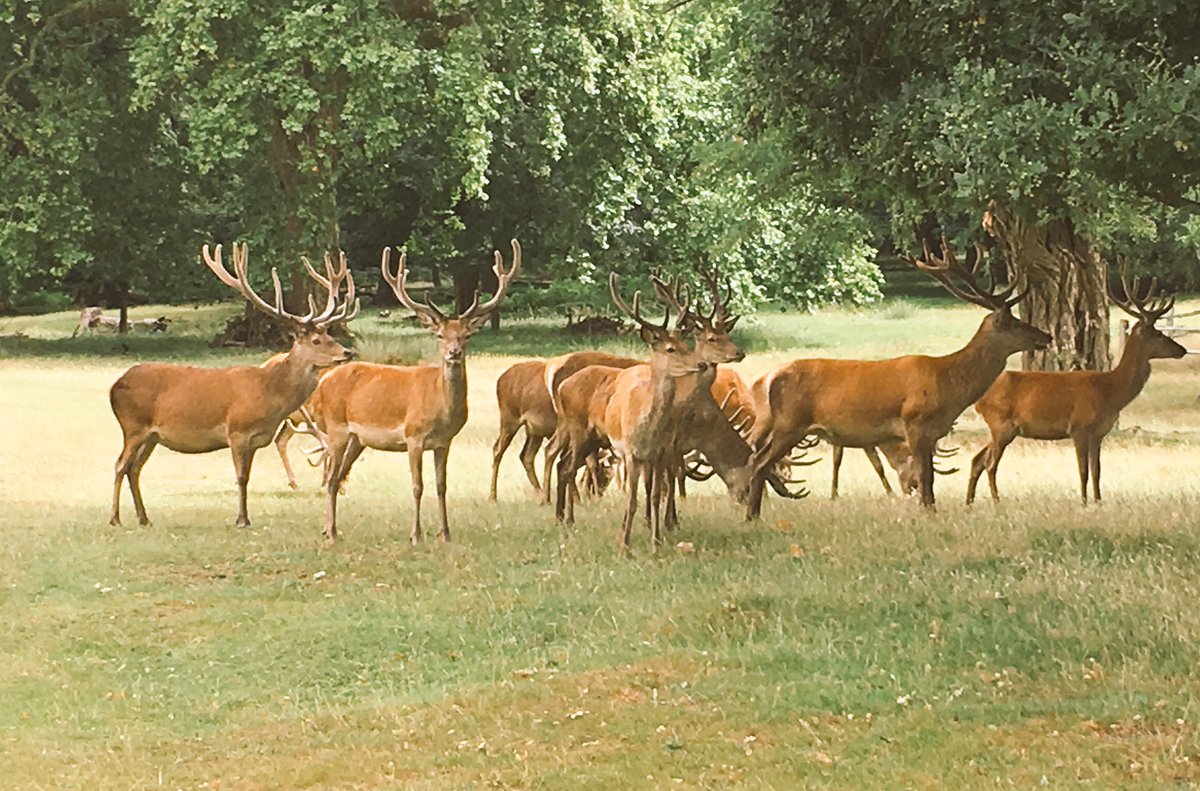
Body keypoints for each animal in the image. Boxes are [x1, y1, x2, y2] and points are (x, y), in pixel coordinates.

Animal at [108, 243, 359, 528]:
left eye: (329, 335)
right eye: (316, 340)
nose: (347, 352)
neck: (270, 394)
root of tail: (114, 386)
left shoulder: (256, 440)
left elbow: (247, 476)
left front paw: (245, 517)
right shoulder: (237, 432)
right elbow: (241, 477)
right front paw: (241, 519)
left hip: (152, 435)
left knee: (135, 468)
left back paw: (144, 517)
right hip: (133, 426)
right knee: (120, 465)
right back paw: (115, 518)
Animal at [314, 240, 520, 543]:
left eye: (466, 336)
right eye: (440, 335)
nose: (454, 353)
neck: (441, 408)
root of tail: (325, 379)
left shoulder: (444, 442)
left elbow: (441, 485)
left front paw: (445, 533)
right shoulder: (413, 437)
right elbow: (417, 486)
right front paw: (416, 535)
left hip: (357, 439)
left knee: (337, 475)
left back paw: (332, 529)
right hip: (336, 427)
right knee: (330, 477)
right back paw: (330, 533)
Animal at [744, 237, 1051, 517]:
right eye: (1014, 323)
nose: (1045, 336)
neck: (949, 385)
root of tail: (771, 379)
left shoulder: (932, 433)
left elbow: (930, 479)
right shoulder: (914, 424)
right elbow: (926, 480)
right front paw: (927, 513)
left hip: (782, 425)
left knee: (757, 458)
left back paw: (753, 513)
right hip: (791, 423)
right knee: (759, 462)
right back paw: (752, 515)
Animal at [966, 272, 1186, 504]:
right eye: (1158, 334)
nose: (1181, 349)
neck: (1111, 392)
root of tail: (979, 401)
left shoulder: (1099, 433)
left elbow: (1097, 470)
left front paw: (1098, 501)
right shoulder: (1079, 427)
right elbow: (1083, 470)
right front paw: (1084, 502)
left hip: (998, 429)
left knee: (977, 459)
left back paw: (969, 501)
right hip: (1001, 424)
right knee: (990, 464)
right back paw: (996, 501)